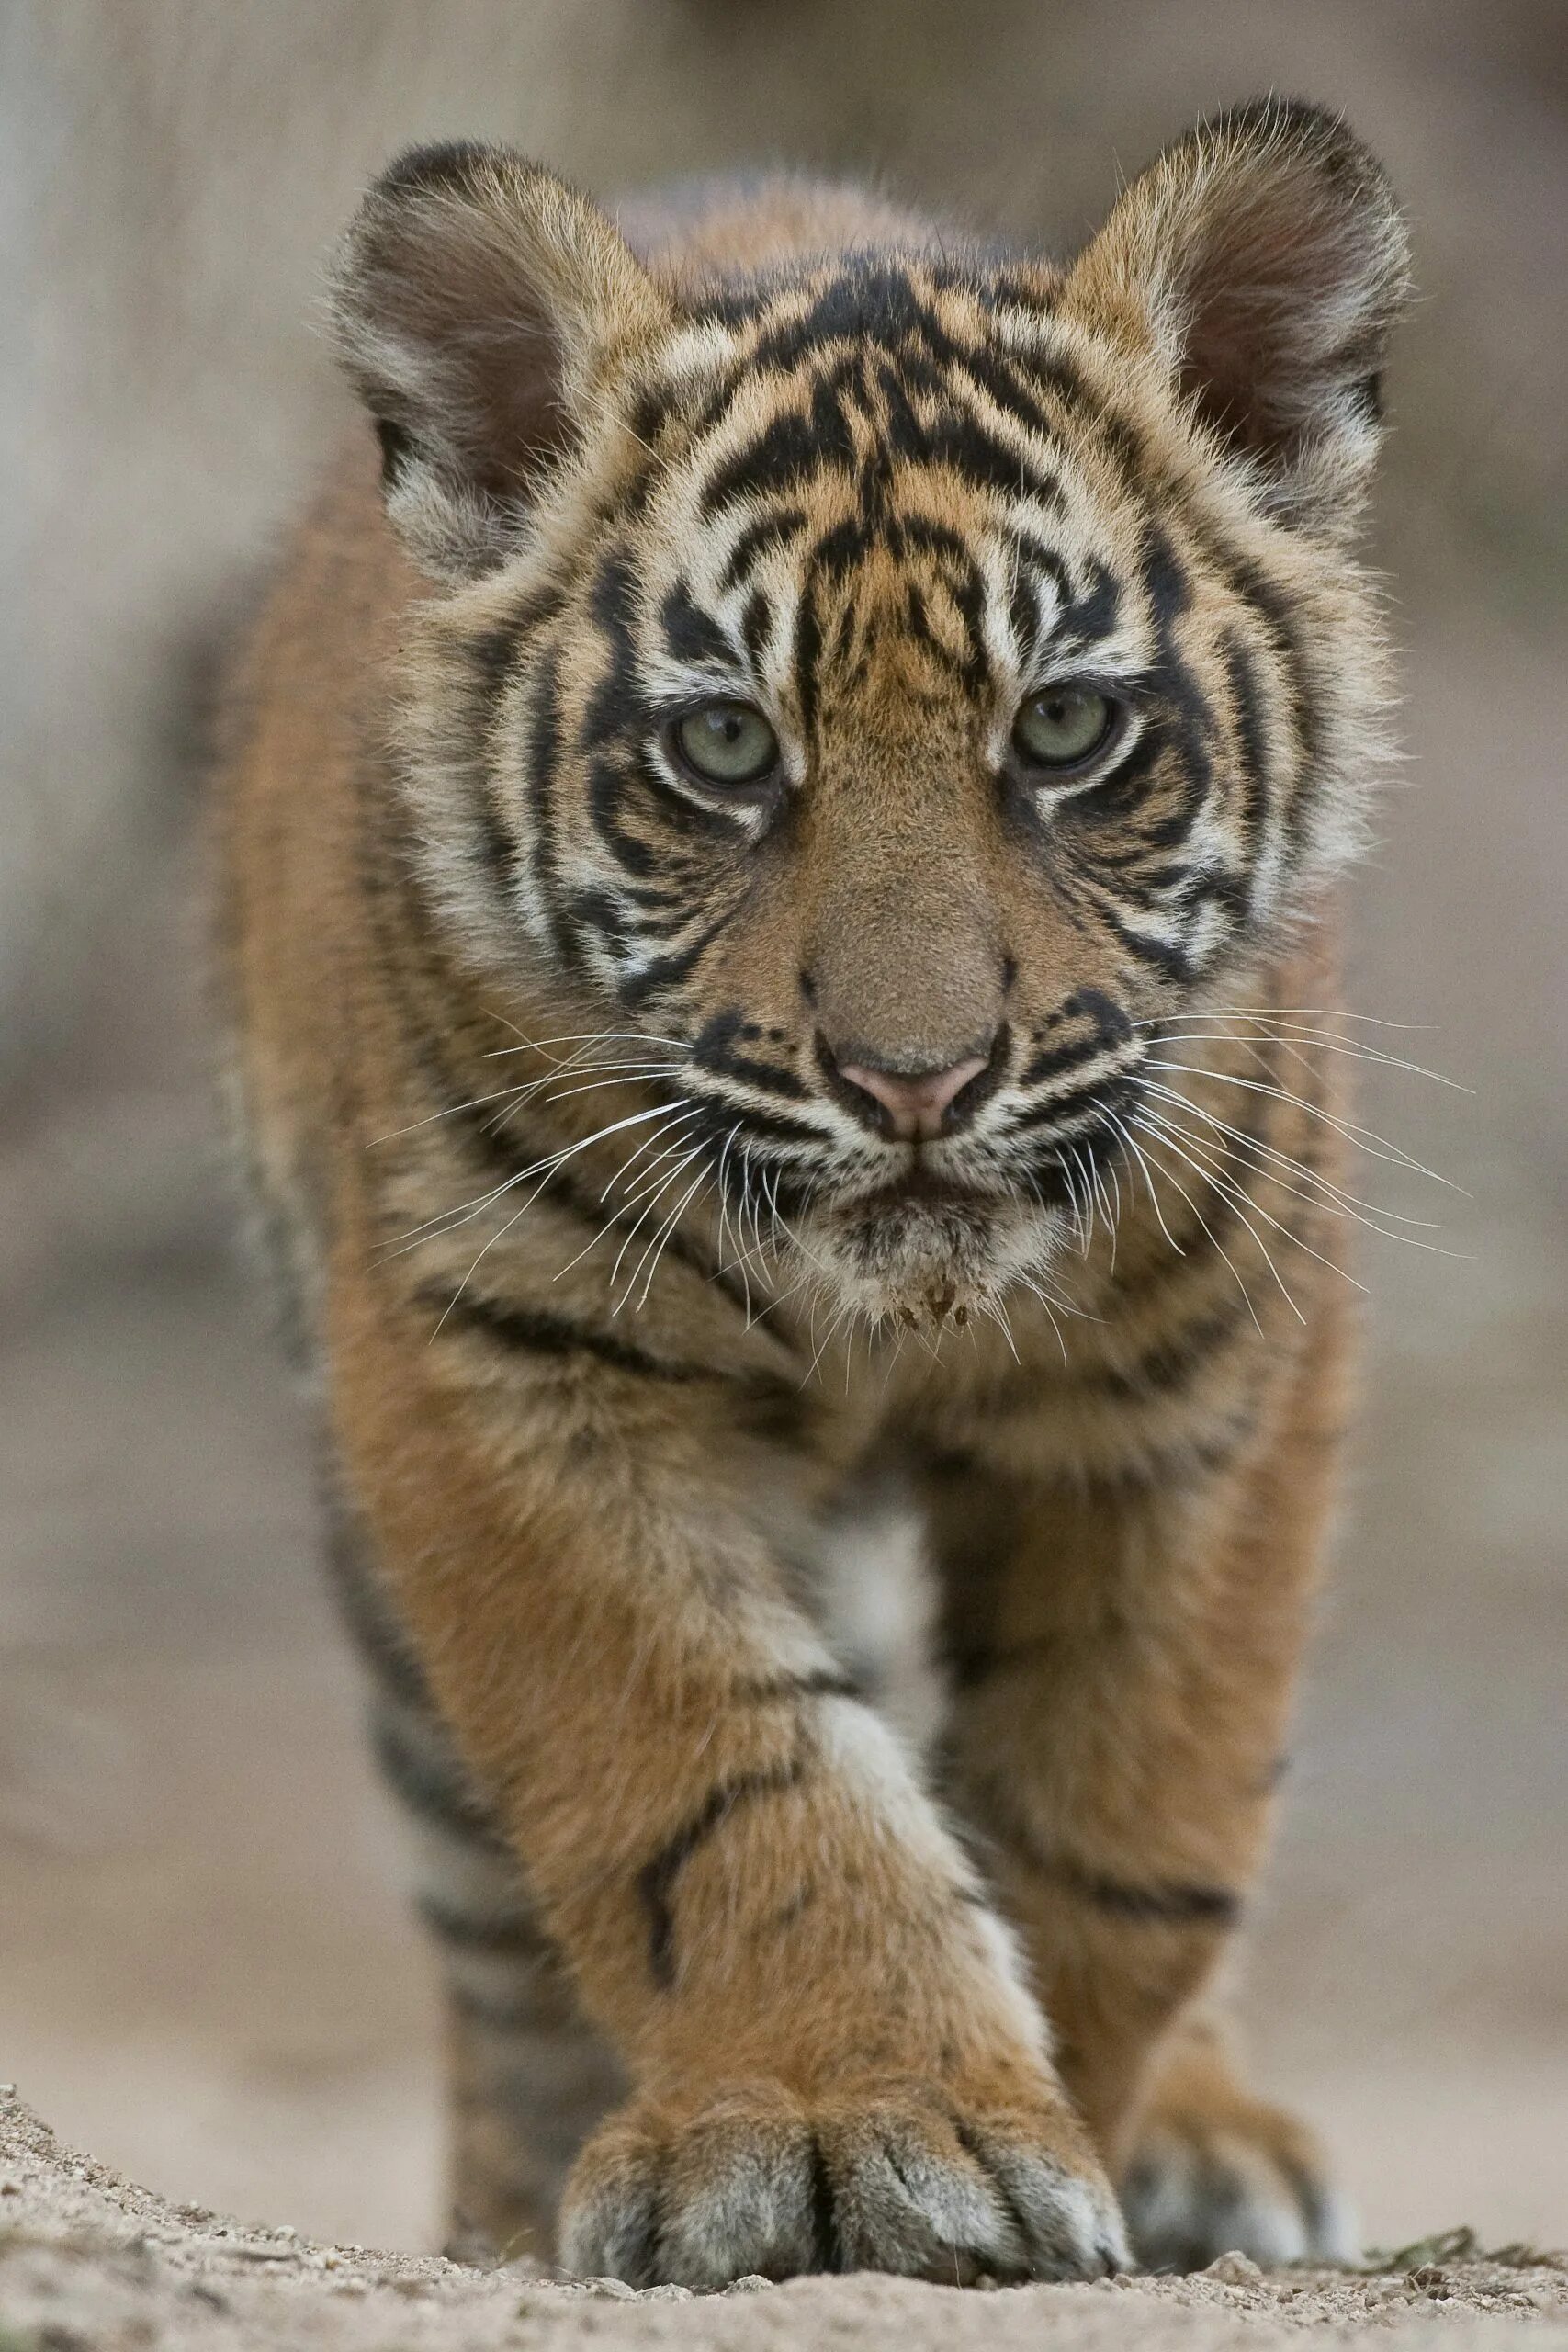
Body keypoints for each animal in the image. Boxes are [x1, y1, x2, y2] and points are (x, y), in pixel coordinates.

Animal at [218, 99, 1409, 2287]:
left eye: (1065, 725)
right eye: (719, 749)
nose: (914, 1079)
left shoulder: (1214, 1358)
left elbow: (1138, 1802)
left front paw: (1075, 2102)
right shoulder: (495, 1356)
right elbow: (715, 1773)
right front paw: (850, 2121)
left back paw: (1214, 2140)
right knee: (496, 1942)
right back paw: (520, 2190)